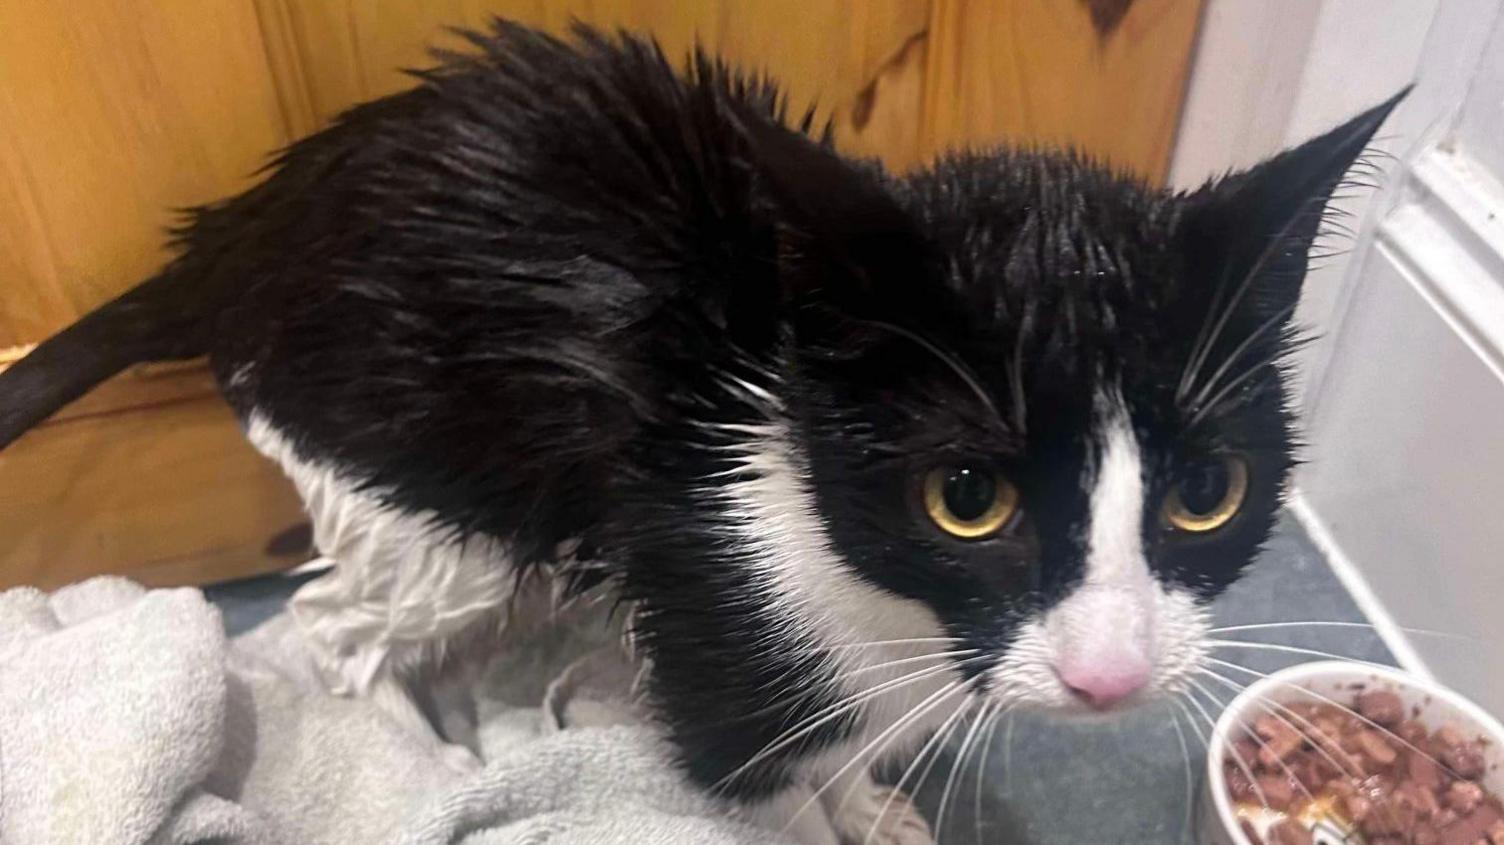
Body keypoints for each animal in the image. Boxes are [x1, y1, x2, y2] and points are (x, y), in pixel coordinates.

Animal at [5, 21, 1401, 841]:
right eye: (966, 497)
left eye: (1206, 488)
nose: (1110, 676)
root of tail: (243, 230)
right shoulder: (715, 583)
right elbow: (756, 763)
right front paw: (820, 811)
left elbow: (844, 736)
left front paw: (869, 801)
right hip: (408, 469)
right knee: (339, 620)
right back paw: (416, 747)